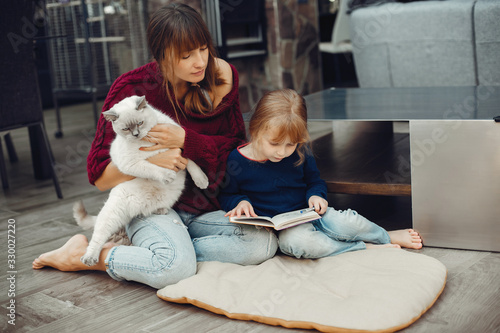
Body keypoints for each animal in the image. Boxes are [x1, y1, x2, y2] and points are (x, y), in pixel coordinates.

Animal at [73, 94, 208, 266]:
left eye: (140, 123)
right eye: (126, 129)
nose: (136, 134)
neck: (147, 139)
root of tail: (138, 210)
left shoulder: (179, 148)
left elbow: (192, 163)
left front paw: (202, 181)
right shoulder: (131, 164)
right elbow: (152, 168)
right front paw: (168, 176)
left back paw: (160, 210)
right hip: (112, 213)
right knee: (98, 238)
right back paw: (89, 258)